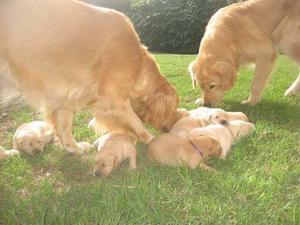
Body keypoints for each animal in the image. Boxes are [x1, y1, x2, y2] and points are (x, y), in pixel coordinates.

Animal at [0, 0, 178, 155]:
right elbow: (136, 121)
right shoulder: (113, 101)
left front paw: (74, 148)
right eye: (174, 109)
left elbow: (64, 126)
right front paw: (152, 139)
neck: (138, 63)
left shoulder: (63, 96)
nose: (173, 127)